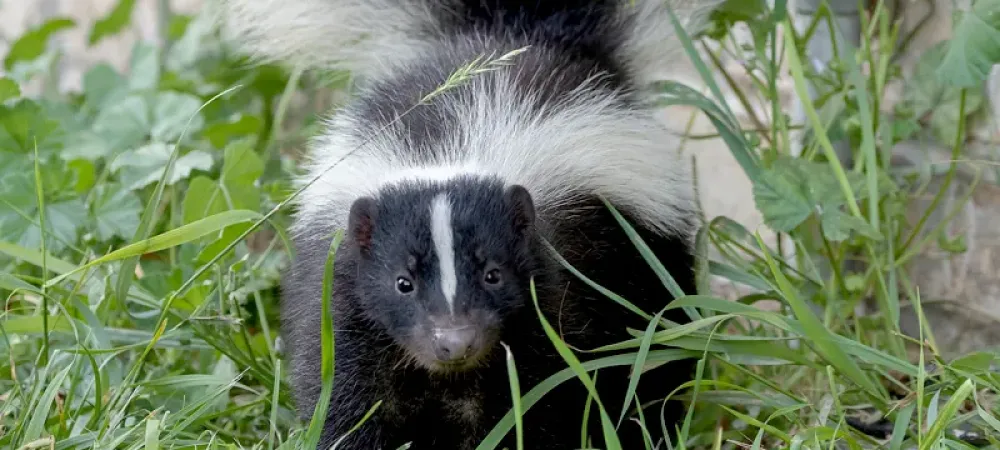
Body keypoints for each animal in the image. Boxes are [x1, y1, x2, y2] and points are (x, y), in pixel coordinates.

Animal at [219, 0, 720, 450]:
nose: (455, 342)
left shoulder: (550, 298)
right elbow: (352, 402)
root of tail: (516, 36)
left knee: (654, 362)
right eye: (402, 283)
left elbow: (533, 402)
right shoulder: (345, 301)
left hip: (646, 262)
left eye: (493, 274)